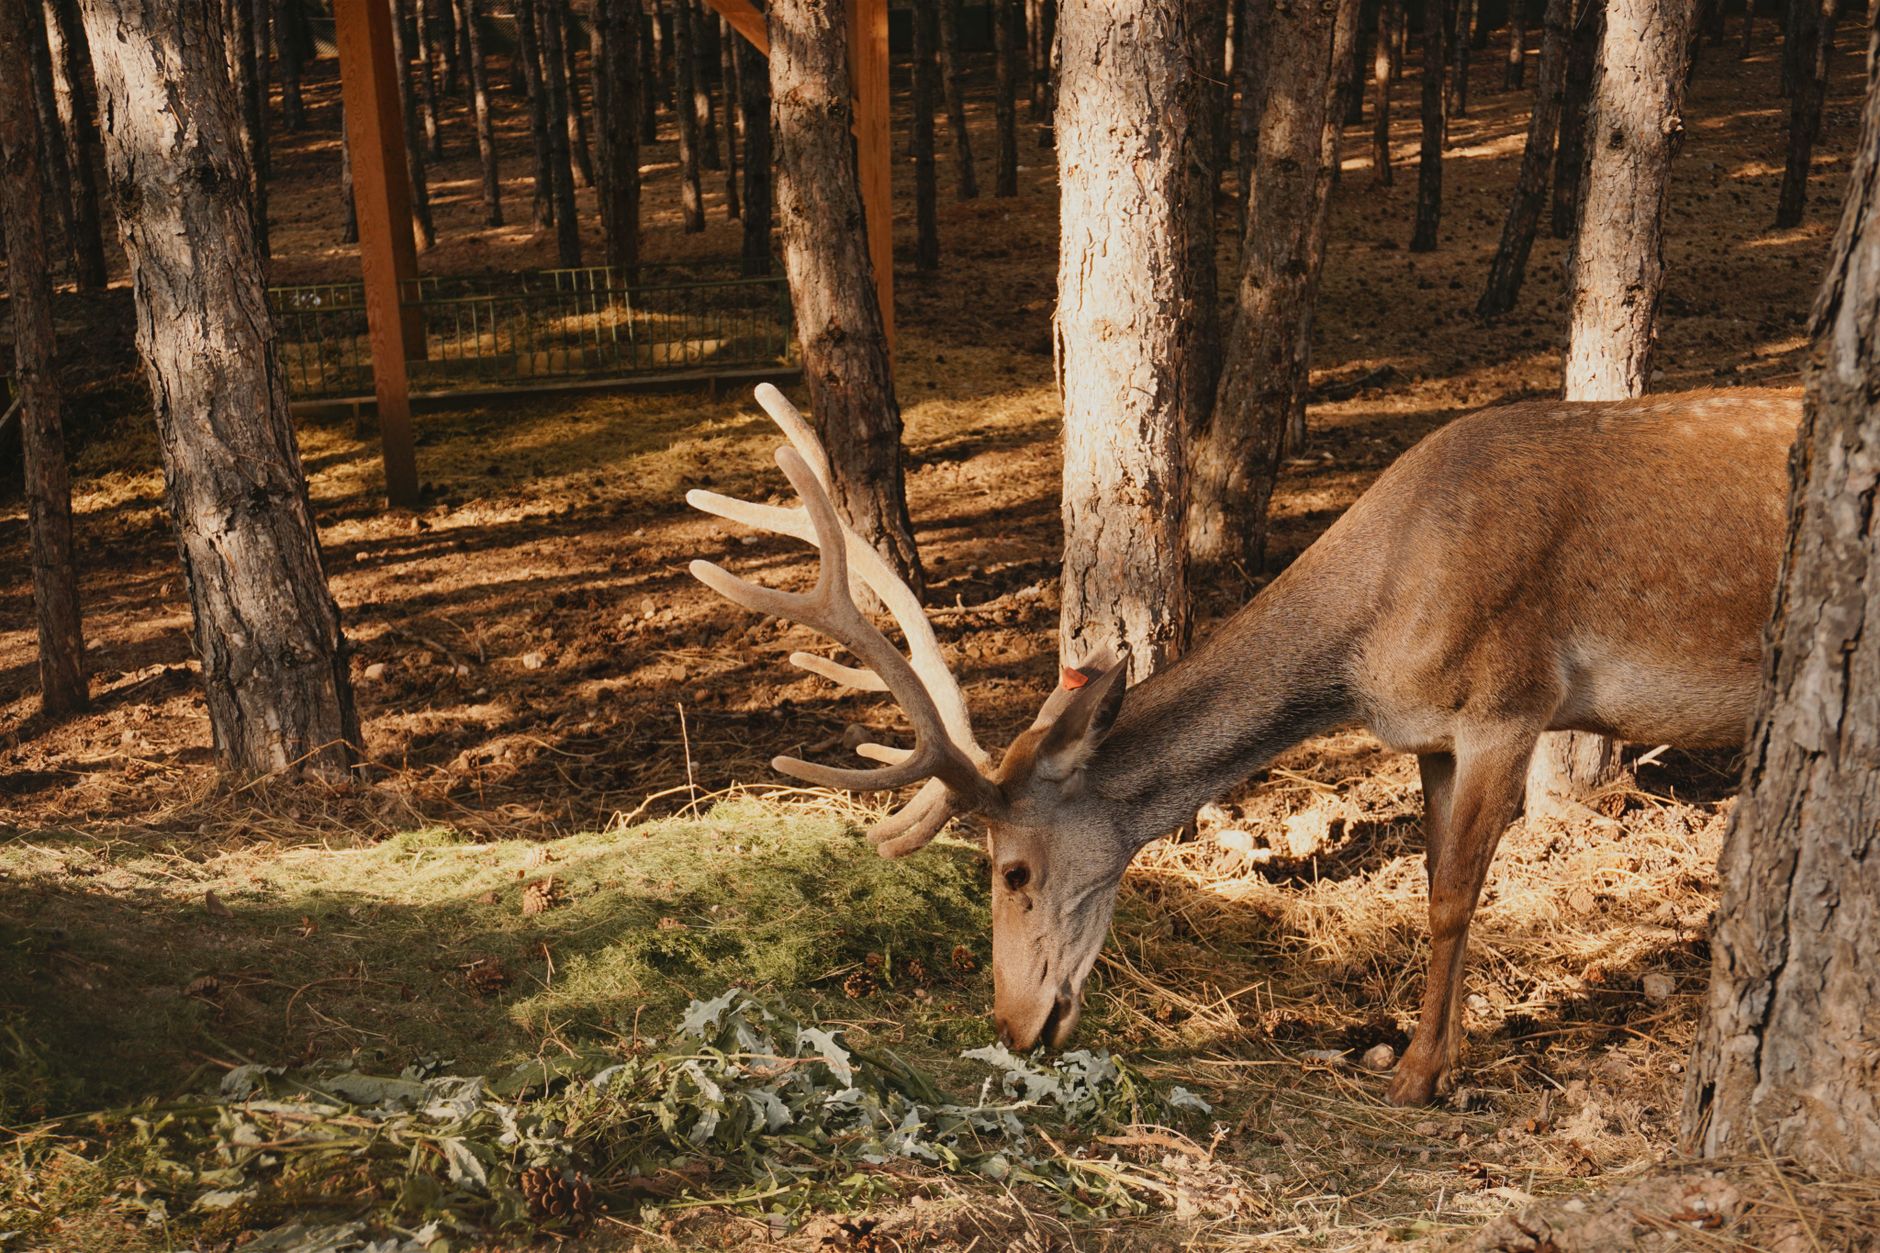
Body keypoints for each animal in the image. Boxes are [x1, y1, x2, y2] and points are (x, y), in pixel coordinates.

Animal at [686, 383, 1798, 1106]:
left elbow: (1451, 896)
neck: (1369, 646)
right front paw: (1423, 1051)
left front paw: (1417, 1075)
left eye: (1010, 870)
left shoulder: (1506, 701)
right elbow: (1434, 876)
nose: (1011, 1023)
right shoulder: (1434, 734)